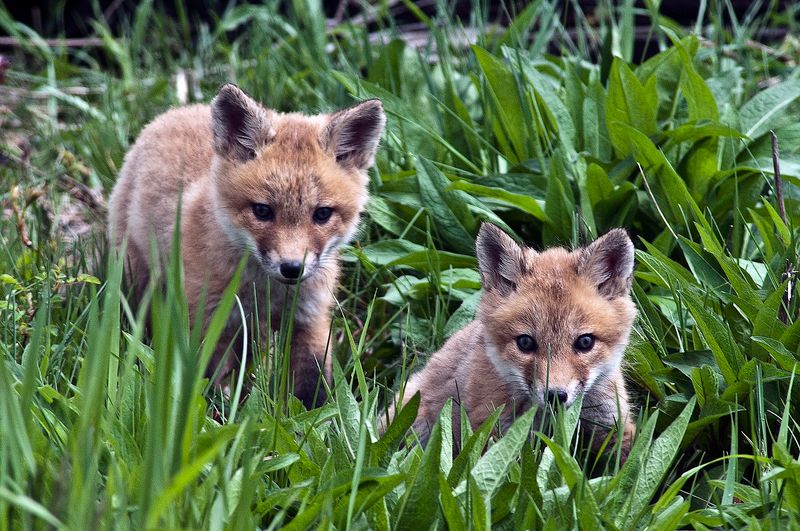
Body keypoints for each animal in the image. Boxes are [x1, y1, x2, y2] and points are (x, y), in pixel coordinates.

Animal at [108, 83, 386, 409]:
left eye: (322, 214)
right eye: (262, 211)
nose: (292, 268)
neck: (266, 292)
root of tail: (178, 110)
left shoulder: (309, 317)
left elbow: (312, 385)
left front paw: (316, 418)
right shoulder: (209, 318)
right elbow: (208, 383)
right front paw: (221, 413)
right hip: (139, 281)